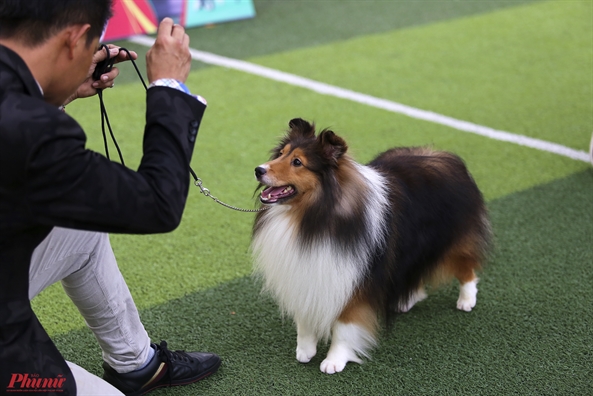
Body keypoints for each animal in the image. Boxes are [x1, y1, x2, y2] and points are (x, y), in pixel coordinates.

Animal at [250, 118, 490, 374]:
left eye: (297, 162)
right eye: (281, 154)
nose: (258, 170)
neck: (313, 216)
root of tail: (445, 156)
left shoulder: (355, 278)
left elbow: (344, 325)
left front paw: (334, 360)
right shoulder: (306, 271)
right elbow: (304, 316)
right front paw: (305, 350)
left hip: (455, 240)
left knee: (467, 268)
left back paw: (466, 300)